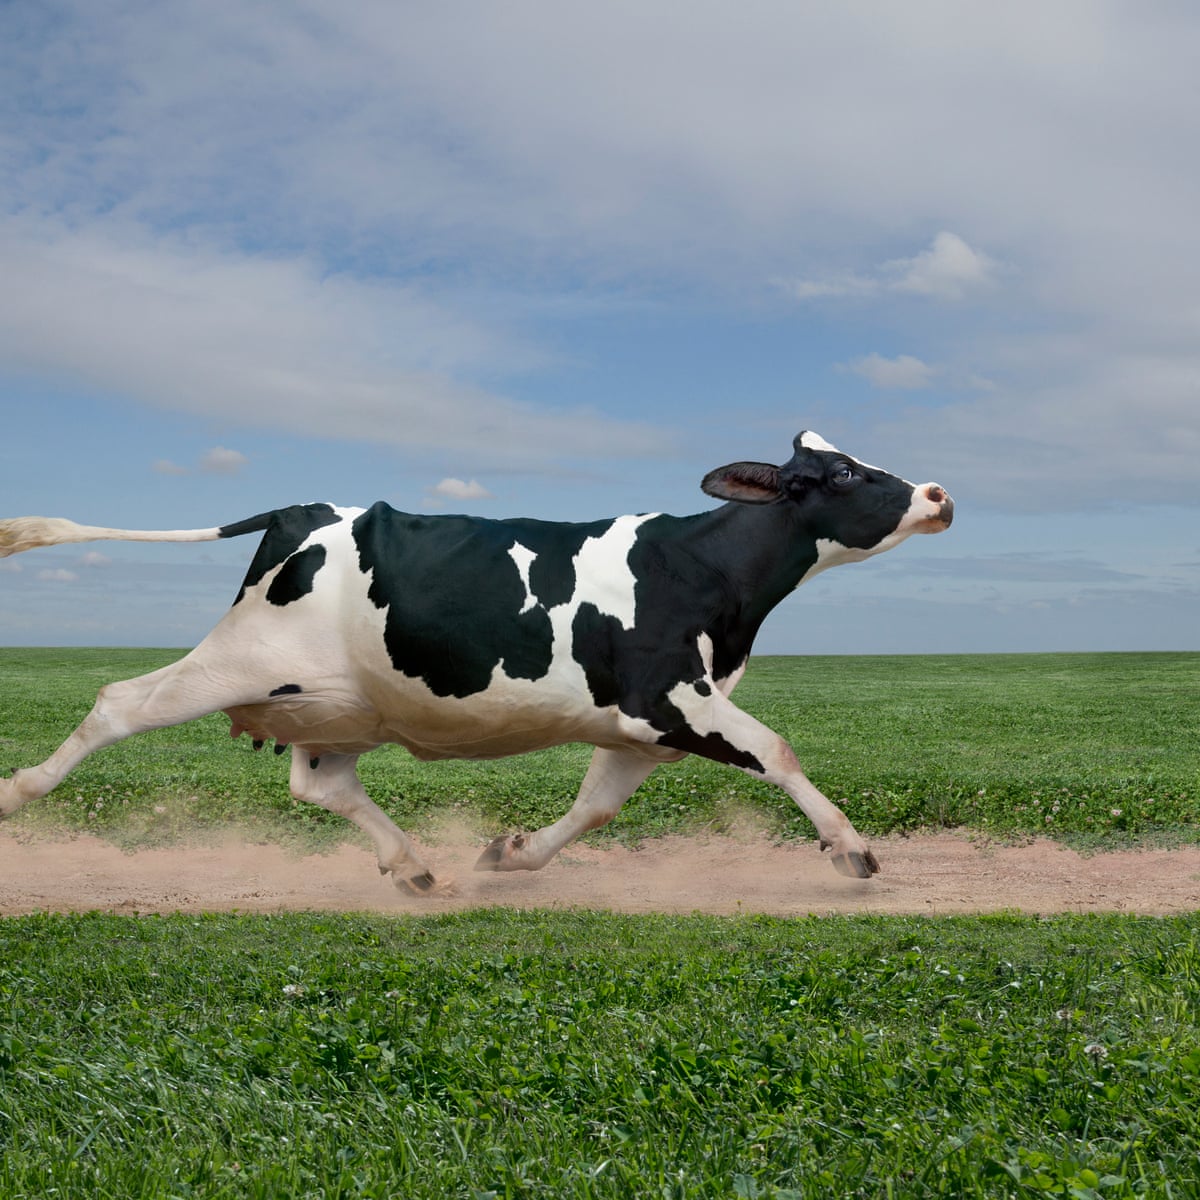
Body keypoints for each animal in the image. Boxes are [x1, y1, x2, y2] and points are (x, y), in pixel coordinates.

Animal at [0, 431, 952, 892]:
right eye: (840, 473)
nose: (938, 494)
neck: (702, 567)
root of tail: (299, 508)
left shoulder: (640, 724)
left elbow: (596, 807)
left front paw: (512, 855)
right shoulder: (674, 696)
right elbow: (779, 751)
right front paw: (852, 852)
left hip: (337, 701)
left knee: (321, 783)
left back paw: (416, 866)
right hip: (242, 659)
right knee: (119, 701)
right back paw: (17, 792)